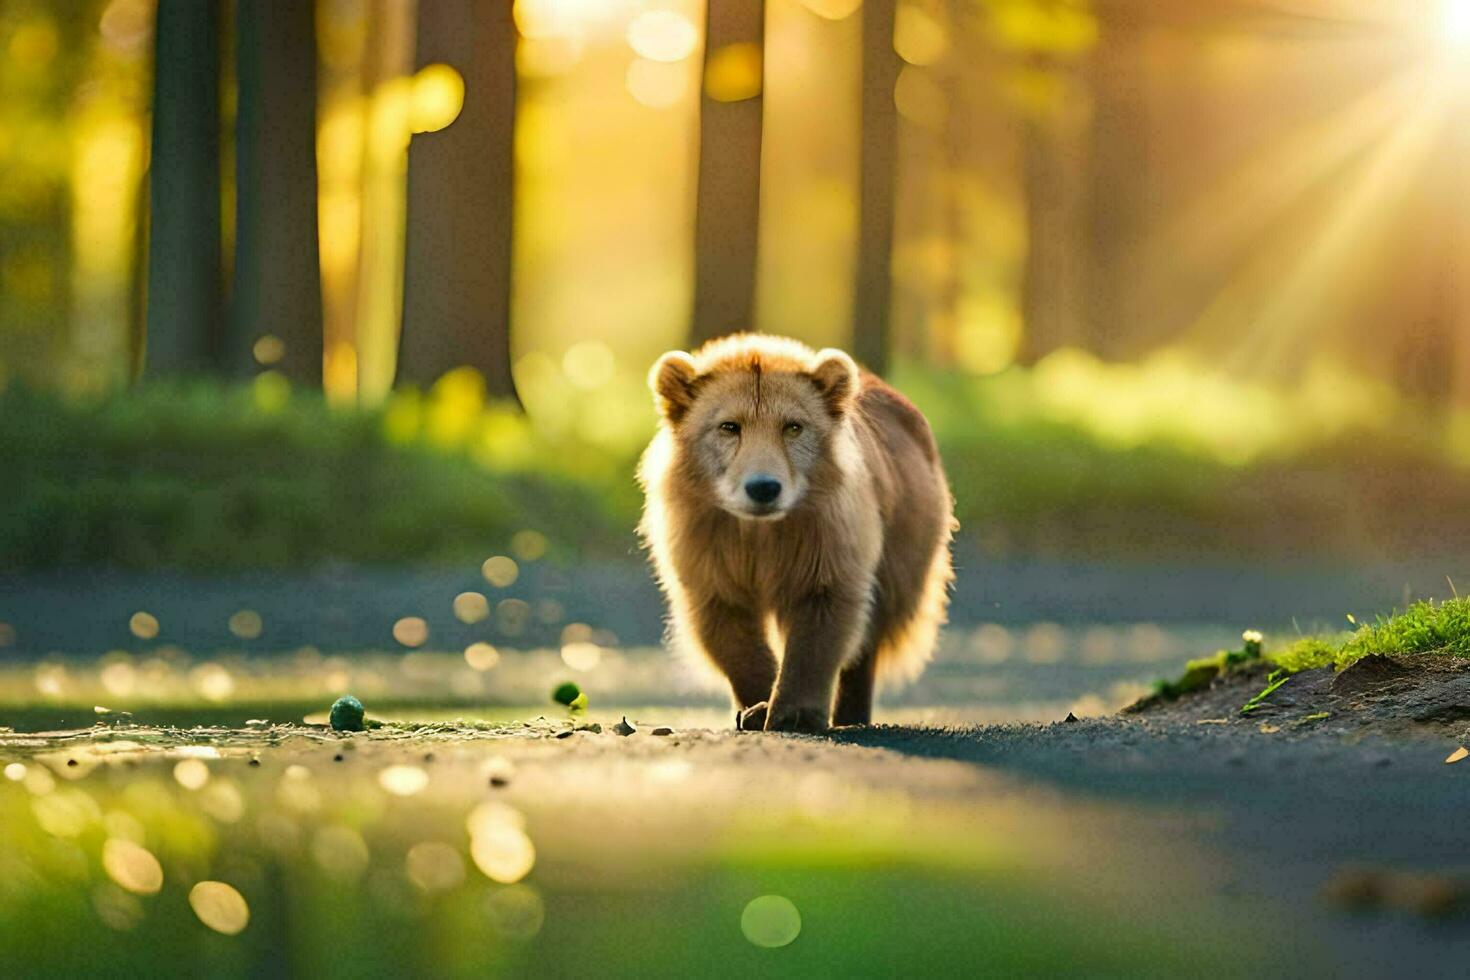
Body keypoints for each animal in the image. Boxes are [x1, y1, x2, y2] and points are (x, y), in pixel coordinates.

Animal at [640, 333, 958, 731]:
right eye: (729, 426)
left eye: (793, 426)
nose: (763, 487)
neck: (760, 532)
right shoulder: (708, 547)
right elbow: (729, 630)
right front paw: (756, 705)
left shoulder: (825, 538)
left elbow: (820, 621)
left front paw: (794, 712)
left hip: (905, 534)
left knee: (876, 623)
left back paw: (852, 713)